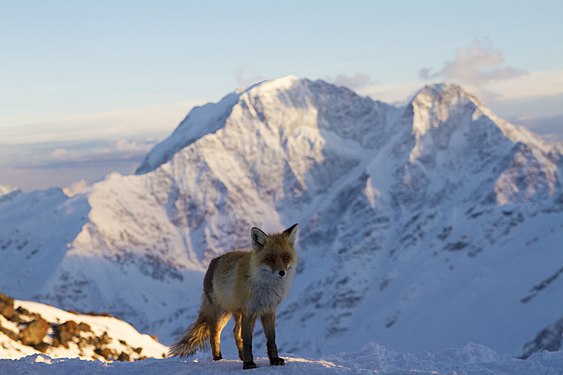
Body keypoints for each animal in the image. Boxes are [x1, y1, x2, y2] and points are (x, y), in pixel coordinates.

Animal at [169, 223, 298, 370]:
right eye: (270, 258)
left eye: (285, 257)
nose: (282, 272)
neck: (266, 289)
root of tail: (213, 261)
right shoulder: (249, 312)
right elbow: (248, 341)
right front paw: (248, 363)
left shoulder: (268, 312)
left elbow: (271, 340)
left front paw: (274, 360)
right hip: (221, 314)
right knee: (214, 335)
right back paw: (218, 358)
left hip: (237, 314)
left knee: (236, 333)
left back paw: (241, 356)